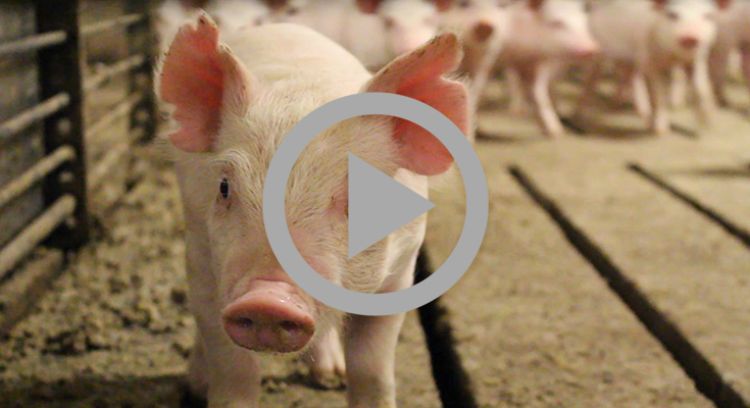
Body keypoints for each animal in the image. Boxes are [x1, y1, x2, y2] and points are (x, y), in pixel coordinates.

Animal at [156, 14, 469, 407]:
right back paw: (197, 384)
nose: (267, 300)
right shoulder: (201, 257)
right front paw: (205, 391)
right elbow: (231, 365)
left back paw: (330, 377)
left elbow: (372, 368)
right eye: (224, 187)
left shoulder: (401, 272)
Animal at [496, 0, 599, 138]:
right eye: (557, 23)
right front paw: (557, 132)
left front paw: (557, 131)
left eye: (584, 22)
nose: (592, 49)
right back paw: (517, 111)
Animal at [578, 0, 726, 135]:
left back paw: (621, 106)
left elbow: (701, 87)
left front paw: (708, 124)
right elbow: (658, 95)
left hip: (628, 60)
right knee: (590, 79)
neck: (673, 57)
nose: (690, 37)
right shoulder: (649, 62)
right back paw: (584, 118)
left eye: (708, 16)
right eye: (672, 15)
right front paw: (661, 132)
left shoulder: (698, 58)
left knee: (629, 78)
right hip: (599, 54)